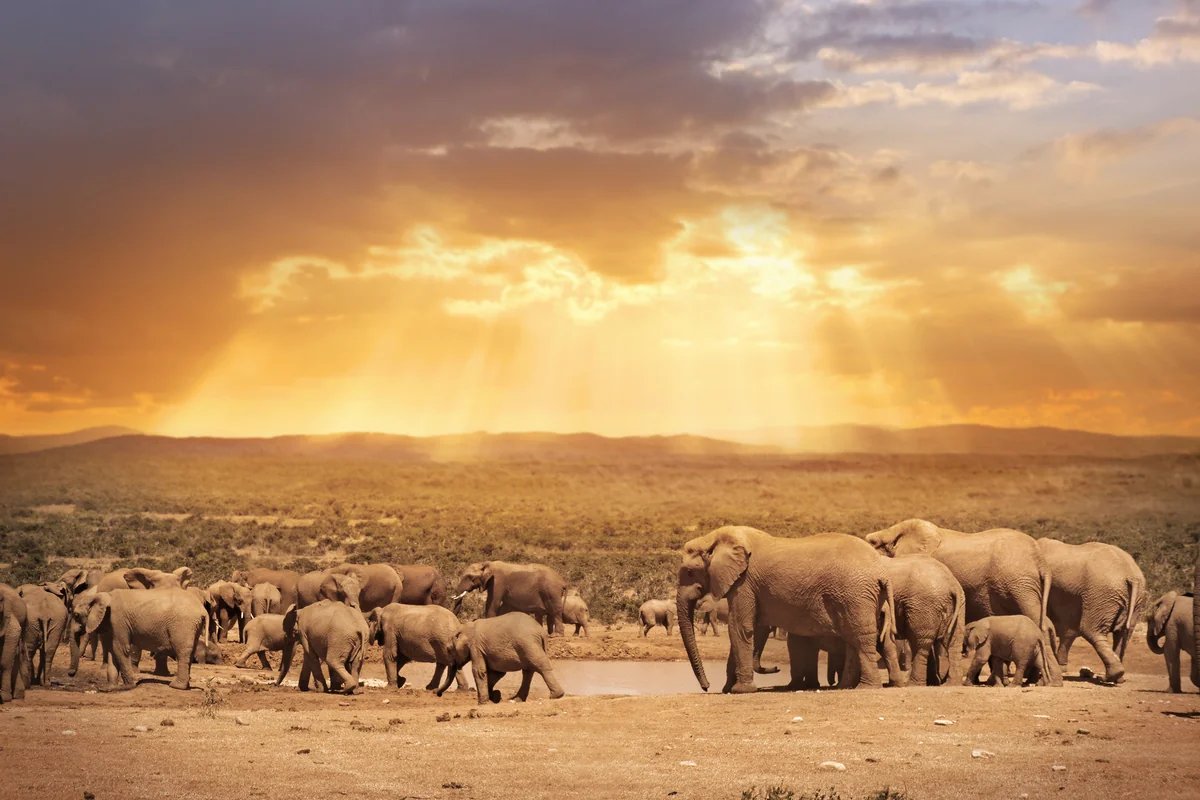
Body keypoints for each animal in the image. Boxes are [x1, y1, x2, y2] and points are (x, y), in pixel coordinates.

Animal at [76, 588, 207, 690]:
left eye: (76, 615)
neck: (105, 595)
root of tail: (202, 609)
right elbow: (112, 650)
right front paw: (109, 688)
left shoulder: (118, 620)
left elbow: (120, 648)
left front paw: (128, 687)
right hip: (193, 626)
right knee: (190, 652)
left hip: (183, 625)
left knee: (182, 652)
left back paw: (176, 686)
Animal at [679, 526, 901, 693]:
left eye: (689, 572)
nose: (707, 687)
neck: (715, 538)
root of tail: (882, 572)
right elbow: (747, 629)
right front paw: (728, 690)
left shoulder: (745, 583)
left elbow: (740, 627)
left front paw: (740, 690)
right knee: (853, 637)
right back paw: (846, 687)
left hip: (855, 594)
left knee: (860, 636)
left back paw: (866, 688)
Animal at [883, 555, 966, 686]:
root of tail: (952, 584)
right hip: (958, 604)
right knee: (954, 641)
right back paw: (949, 684)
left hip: (923, 604)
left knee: (920, 643)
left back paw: (914, 684)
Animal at [1036, 538, 1146, 684]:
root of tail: (1131, 576)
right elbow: (1068, 631)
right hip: (1134, 598)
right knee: (1124, 634)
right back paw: (1118, 679)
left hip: (1101, 593)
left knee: (1091, 630)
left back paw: (1105, 678)